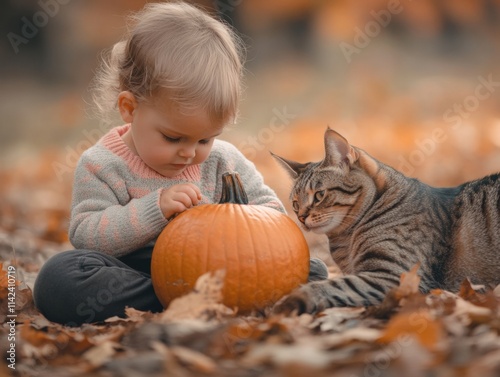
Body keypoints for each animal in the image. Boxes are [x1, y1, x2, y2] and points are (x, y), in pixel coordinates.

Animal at [274, 128, 500, 312]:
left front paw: (289, 301)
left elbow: (333, 285)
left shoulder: (394, 275)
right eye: (295, 204)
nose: (301, 217)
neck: (345, 241)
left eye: (319, 195)